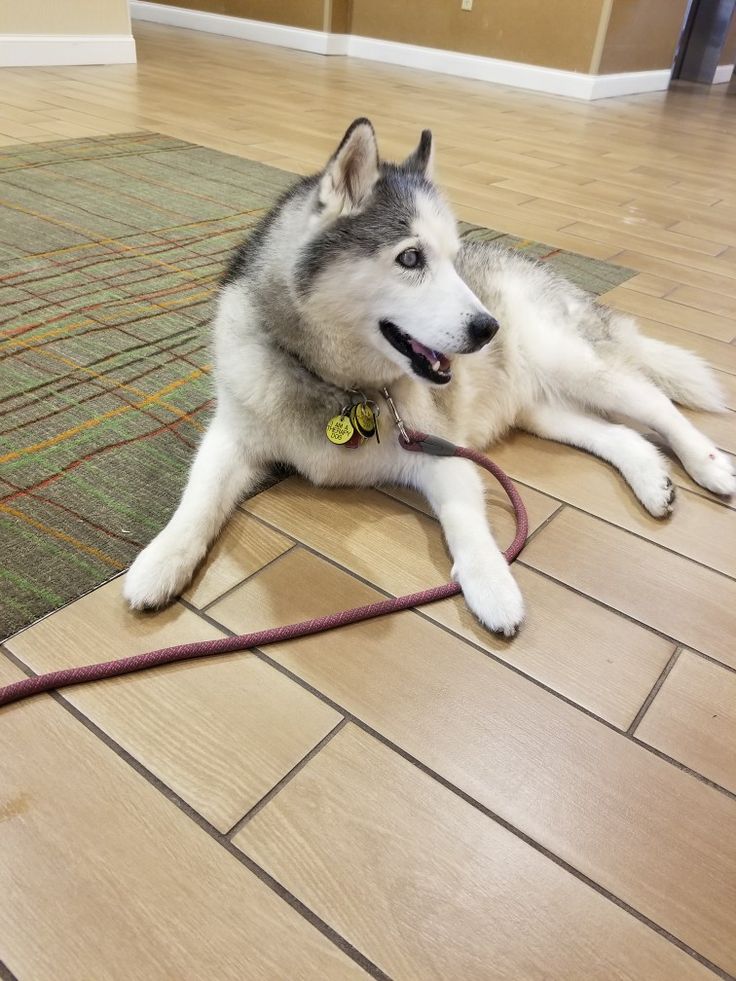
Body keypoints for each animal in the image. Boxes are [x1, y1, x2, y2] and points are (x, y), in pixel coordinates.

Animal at [123, 117, 732, 636]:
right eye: (411, 259)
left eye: (452, 258)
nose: (488, 328)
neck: (339, 387)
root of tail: (539, 268)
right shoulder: (233, 434)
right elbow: (198, 499)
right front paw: (161, 560)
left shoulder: (443, 452)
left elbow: (466, 522)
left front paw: (493, 586)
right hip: (543, 410)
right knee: (620, 433)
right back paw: (650, 479)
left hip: (576, 365)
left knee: (657, 405)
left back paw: (710, 466)